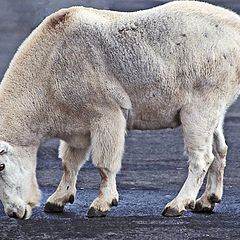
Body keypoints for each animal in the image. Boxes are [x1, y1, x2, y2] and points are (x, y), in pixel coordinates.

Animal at [0, 0, 240, 219]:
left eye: (1, 166)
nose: (14, 212)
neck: (49, 69)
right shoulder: (75, 123)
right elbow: (70, 162)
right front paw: (57, 200)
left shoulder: (105, 111)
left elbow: (104, 163)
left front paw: (101, 204)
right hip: (214, 106)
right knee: (220, 148)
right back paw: (207, 200)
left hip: (200, 103)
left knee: (202, 157)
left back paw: (177, 204)